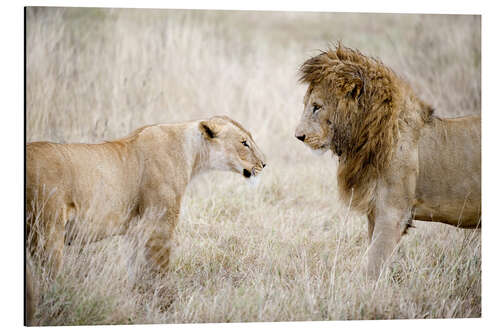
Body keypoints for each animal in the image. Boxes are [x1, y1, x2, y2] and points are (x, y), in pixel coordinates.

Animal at [25, 115, 266, 276]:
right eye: (244, 142)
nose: (264, 164)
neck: (192, 154)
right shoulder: (159, 224)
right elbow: (159, 271)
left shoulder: (135, 230)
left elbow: (135, 270)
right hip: (48, 234)